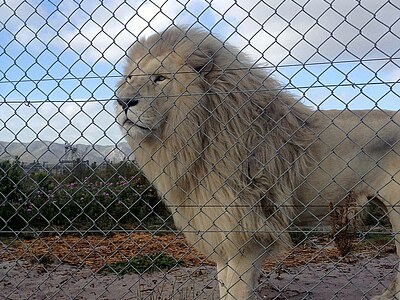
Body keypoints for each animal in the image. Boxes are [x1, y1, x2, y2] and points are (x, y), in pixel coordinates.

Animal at [115, 27, 400, 298]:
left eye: (160, 78)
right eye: (130, 78)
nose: (123, 101)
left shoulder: (249, 238)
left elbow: (235, 294)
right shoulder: (224, 236)